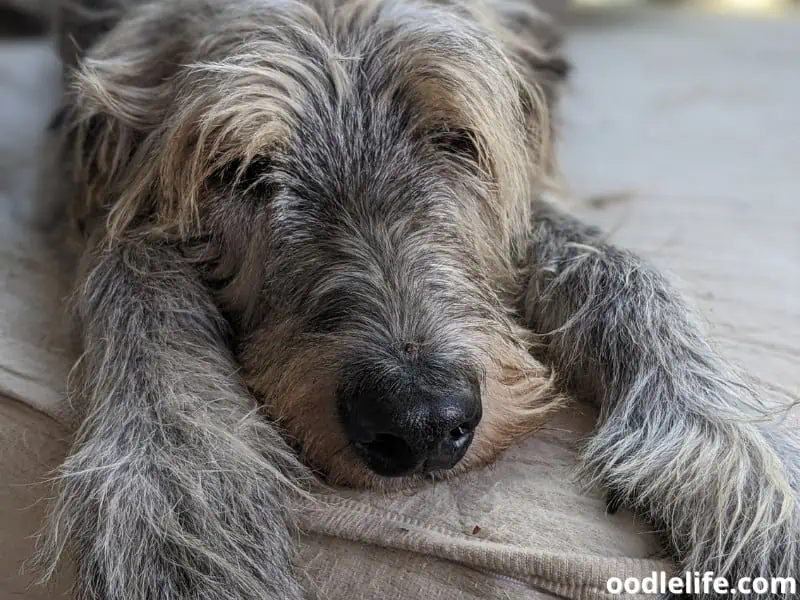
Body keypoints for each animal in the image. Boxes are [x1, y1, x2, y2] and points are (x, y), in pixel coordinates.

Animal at [34, 1, 796, 600]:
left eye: (454, 139)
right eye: (242, 170)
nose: (421, 420)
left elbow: (618, 266)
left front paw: (728, 444)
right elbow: (133, 275)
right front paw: (179, 487)